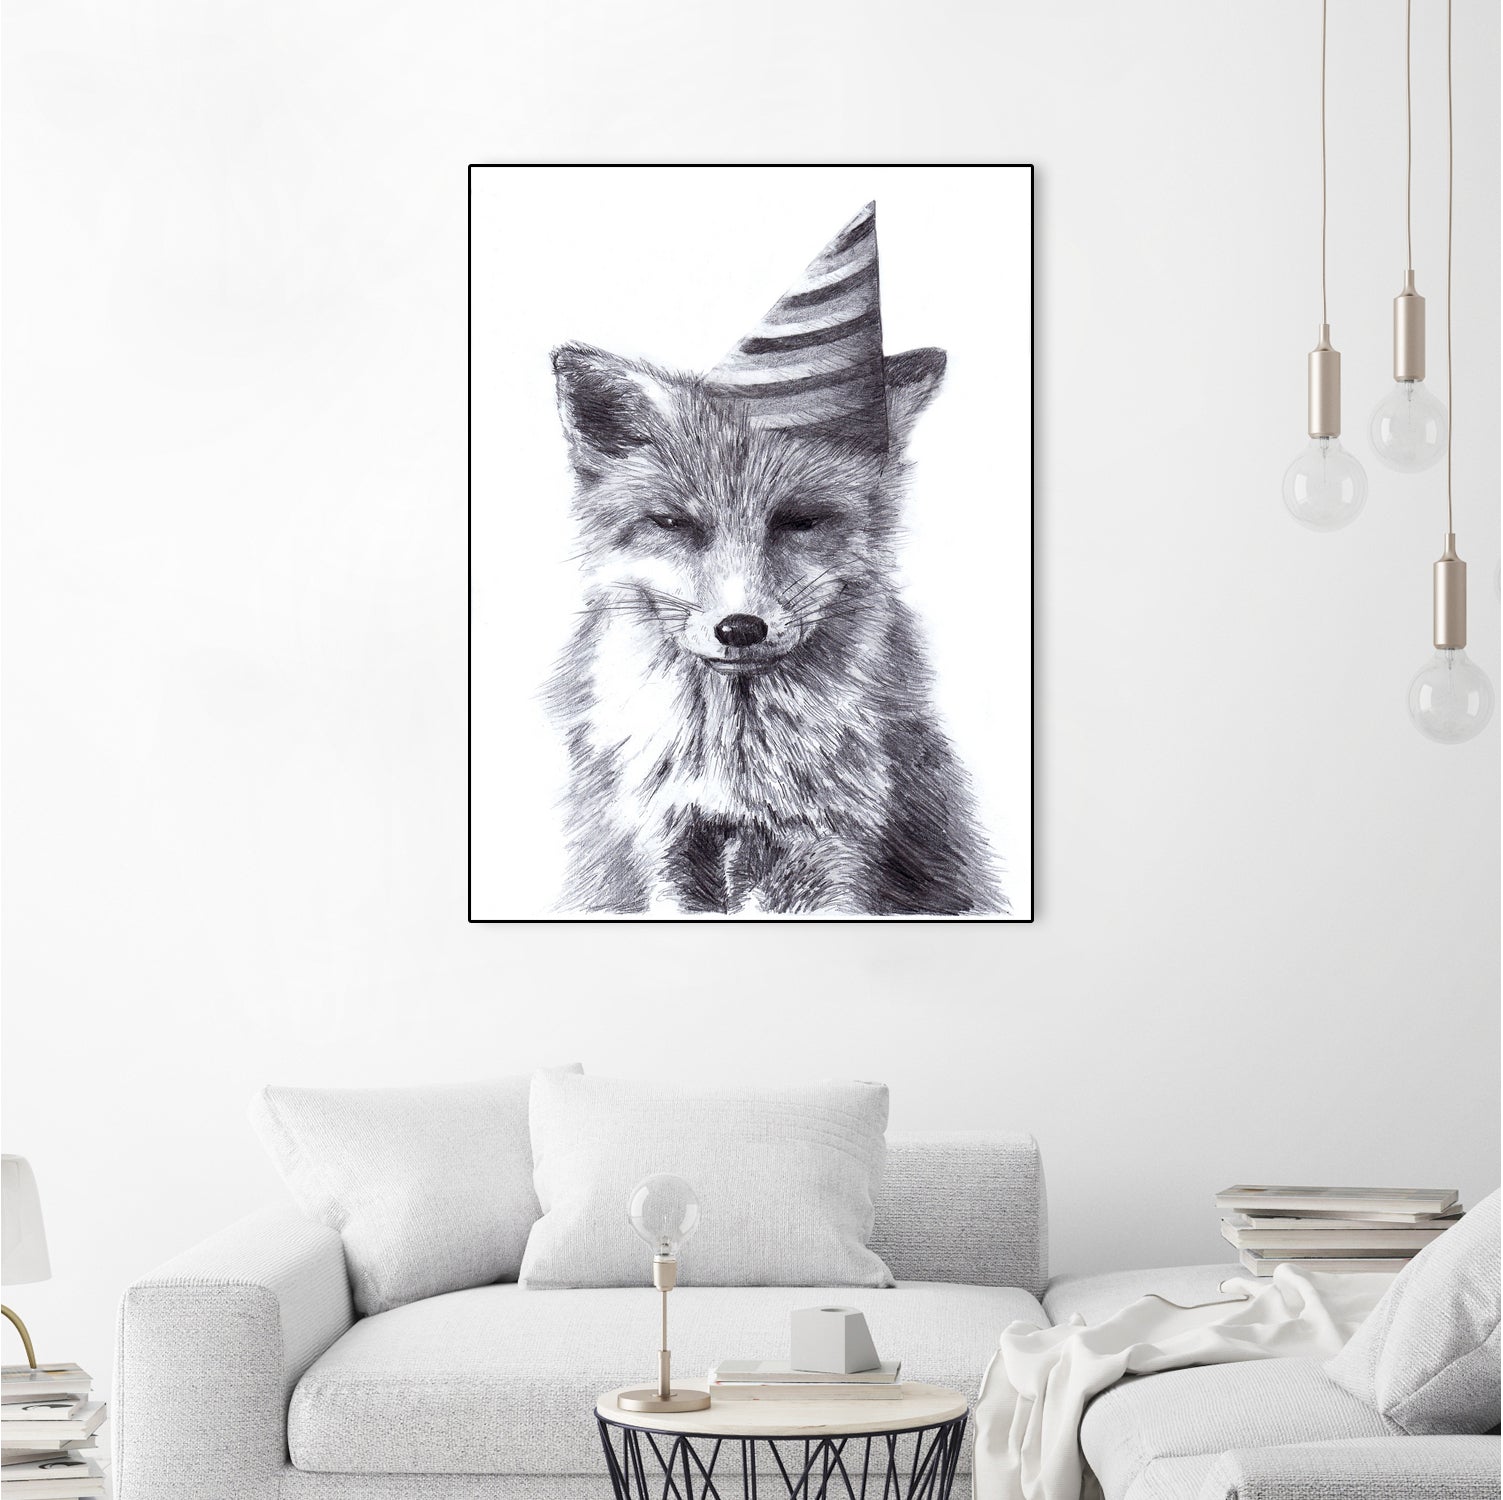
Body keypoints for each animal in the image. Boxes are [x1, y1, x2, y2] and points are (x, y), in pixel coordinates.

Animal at [543, 341, 1004, 917]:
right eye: (672, 524)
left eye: (800, 521)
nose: (740, 629)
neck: (738, 775)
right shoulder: (662, 847)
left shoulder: (835, 849)